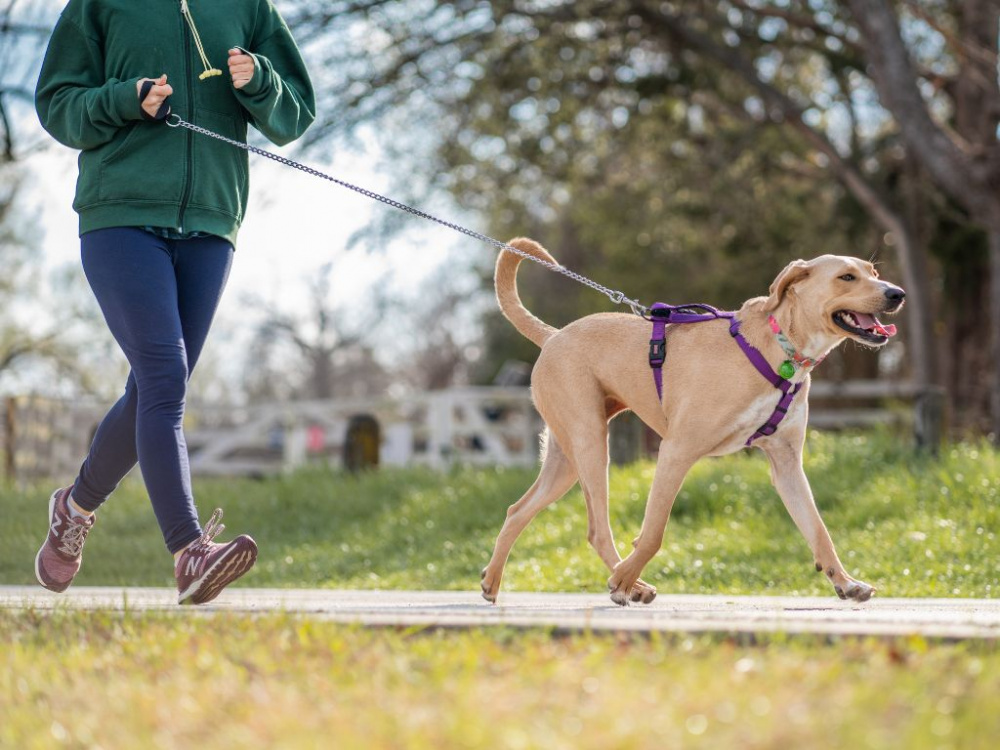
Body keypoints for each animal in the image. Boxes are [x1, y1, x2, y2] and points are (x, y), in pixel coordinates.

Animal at [478, 238, 908, 608]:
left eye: (873, 271)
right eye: (846, 277)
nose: (897, 294)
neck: (781, 348)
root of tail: (553, 336)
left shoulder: (786, 464)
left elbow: (818, 530)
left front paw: (846, 583)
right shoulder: (676, 451)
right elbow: (653, 533)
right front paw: (622, 581)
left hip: (565, 459)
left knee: (517, 510)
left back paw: (493, 581)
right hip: (590, 443)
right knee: (597, 528)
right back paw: (630, 583)